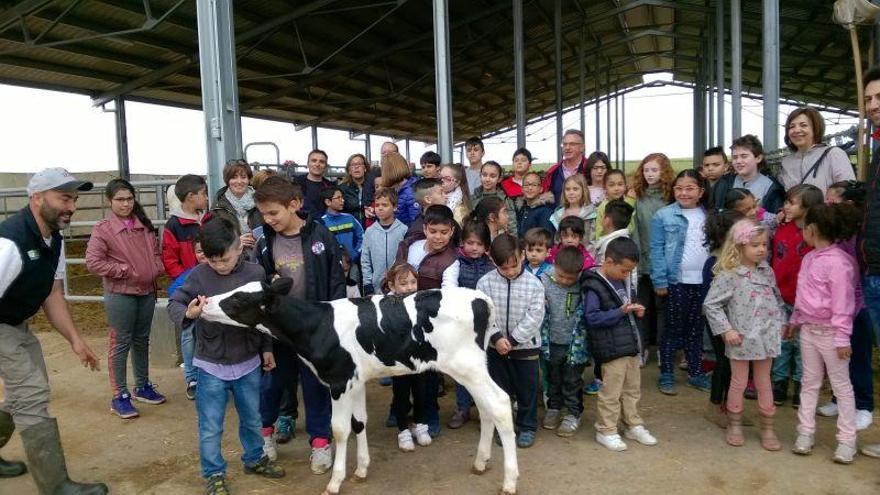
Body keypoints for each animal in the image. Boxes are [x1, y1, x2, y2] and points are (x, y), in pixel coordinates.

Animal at [199, 280, 520, 495]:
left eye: (238, 300)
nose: (204, 302)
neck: (317, 325)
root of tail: (480, 298)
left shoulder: (339, 380)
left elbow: (340, 430)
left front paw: (335, 481)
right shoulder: (356, 380)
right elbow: (359, 422)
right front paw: (362, 469)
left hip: (467, 366)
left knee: (500, 403)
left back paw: (509, 481)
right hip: (473, 368)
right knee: (486, 408)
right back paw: (480, 462)